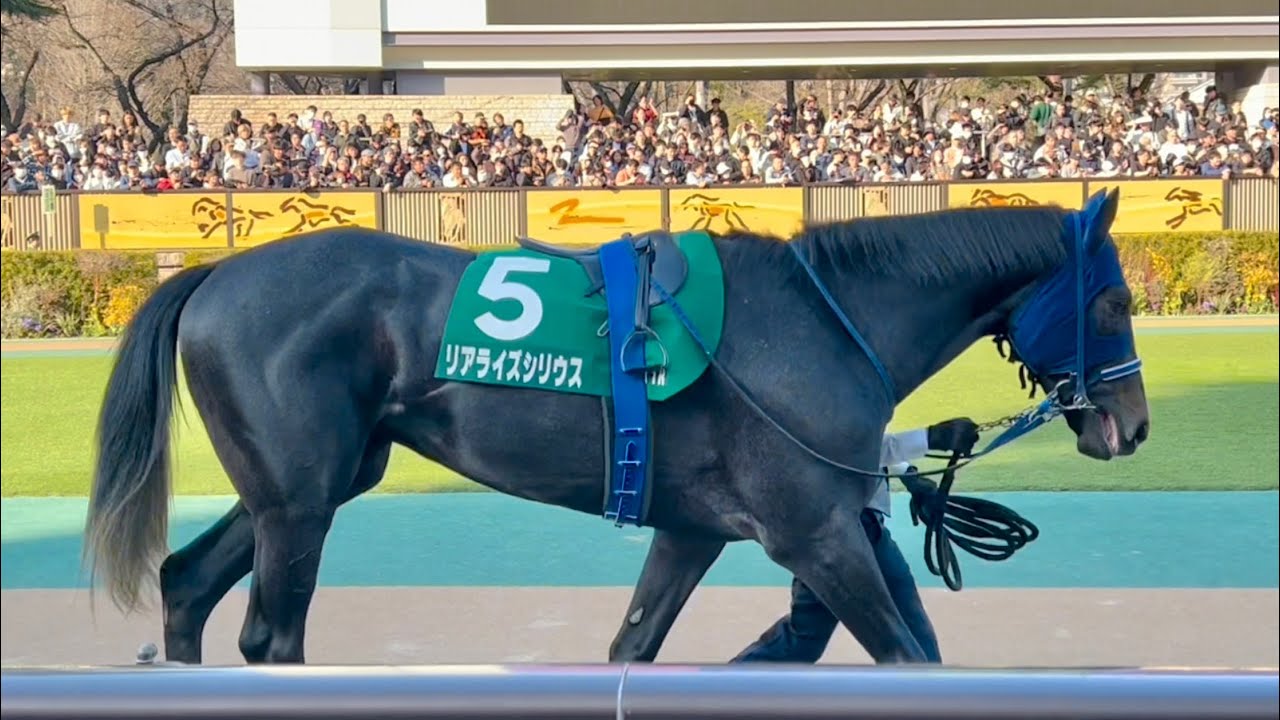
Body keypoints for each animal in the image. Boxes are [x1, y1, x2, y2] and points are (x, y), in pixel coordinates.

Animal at [82, 188, 1150, 666]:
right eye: (1112, 303)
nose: (1132, 427)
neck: (822, 317)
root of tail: (216, 273)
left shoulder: (694, 530)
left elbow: (634, 647)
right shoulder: (816, 534)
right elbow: (901, 651)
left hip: (307, 488)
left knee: (187, 584)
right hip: (301, 502)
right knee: (269, 634)